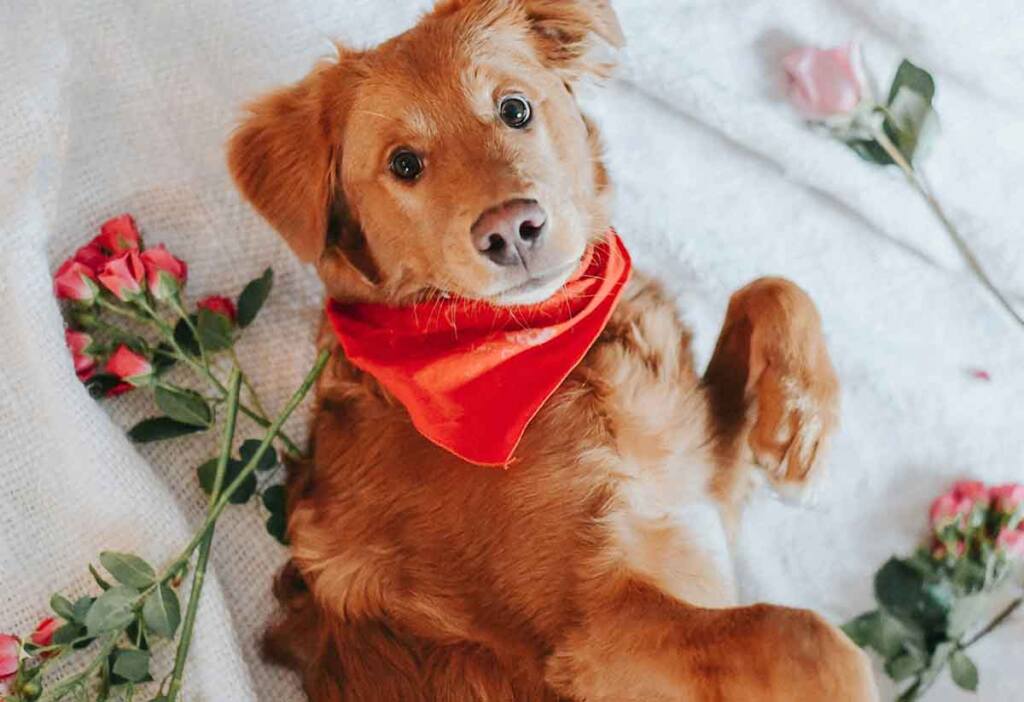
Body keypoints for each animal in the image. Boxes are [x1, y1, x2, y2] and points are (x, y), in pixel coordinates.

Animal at [228, 2, 876, 699]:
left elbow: (772, 288)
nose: (511, 229)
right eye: (404, 165)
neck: (561, 344)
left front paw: (799, 435)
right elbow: (811, 638)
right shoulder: (593, 633)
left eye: (514, 109)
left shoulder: (706, 482)